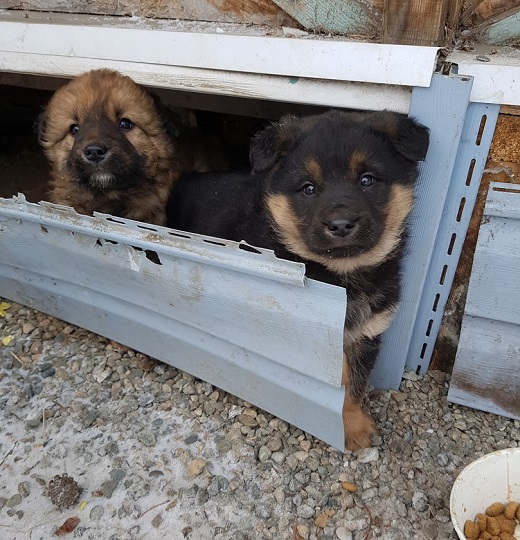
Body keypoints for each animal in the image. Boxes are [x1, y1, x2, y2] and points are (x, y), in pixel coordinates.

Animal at [169, 109, 428, 452]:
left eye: (367, 180)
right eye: (308, 188)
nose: (341, 224)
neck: (340, 276)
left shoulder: (366, 334)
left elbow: (354, 386)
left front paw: (353, 425)